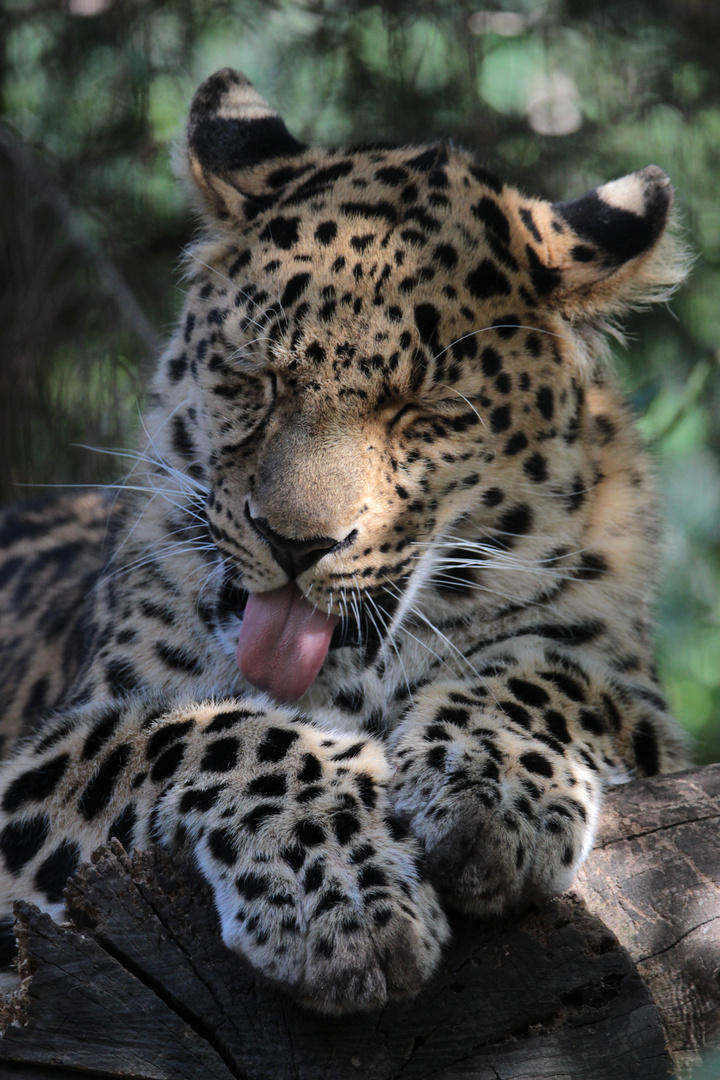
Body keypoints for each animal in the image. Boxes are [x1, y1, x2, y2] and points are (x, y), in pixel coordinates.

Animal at [0, 67, 690, 1010]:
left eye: (427, 413)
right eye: (254, 378)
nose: (293, 545)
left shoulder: (637, 699)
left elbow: (553, 677)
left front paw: (492, 790)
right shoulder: (42, 761)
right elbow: (201, 730)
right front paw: (338, 896)